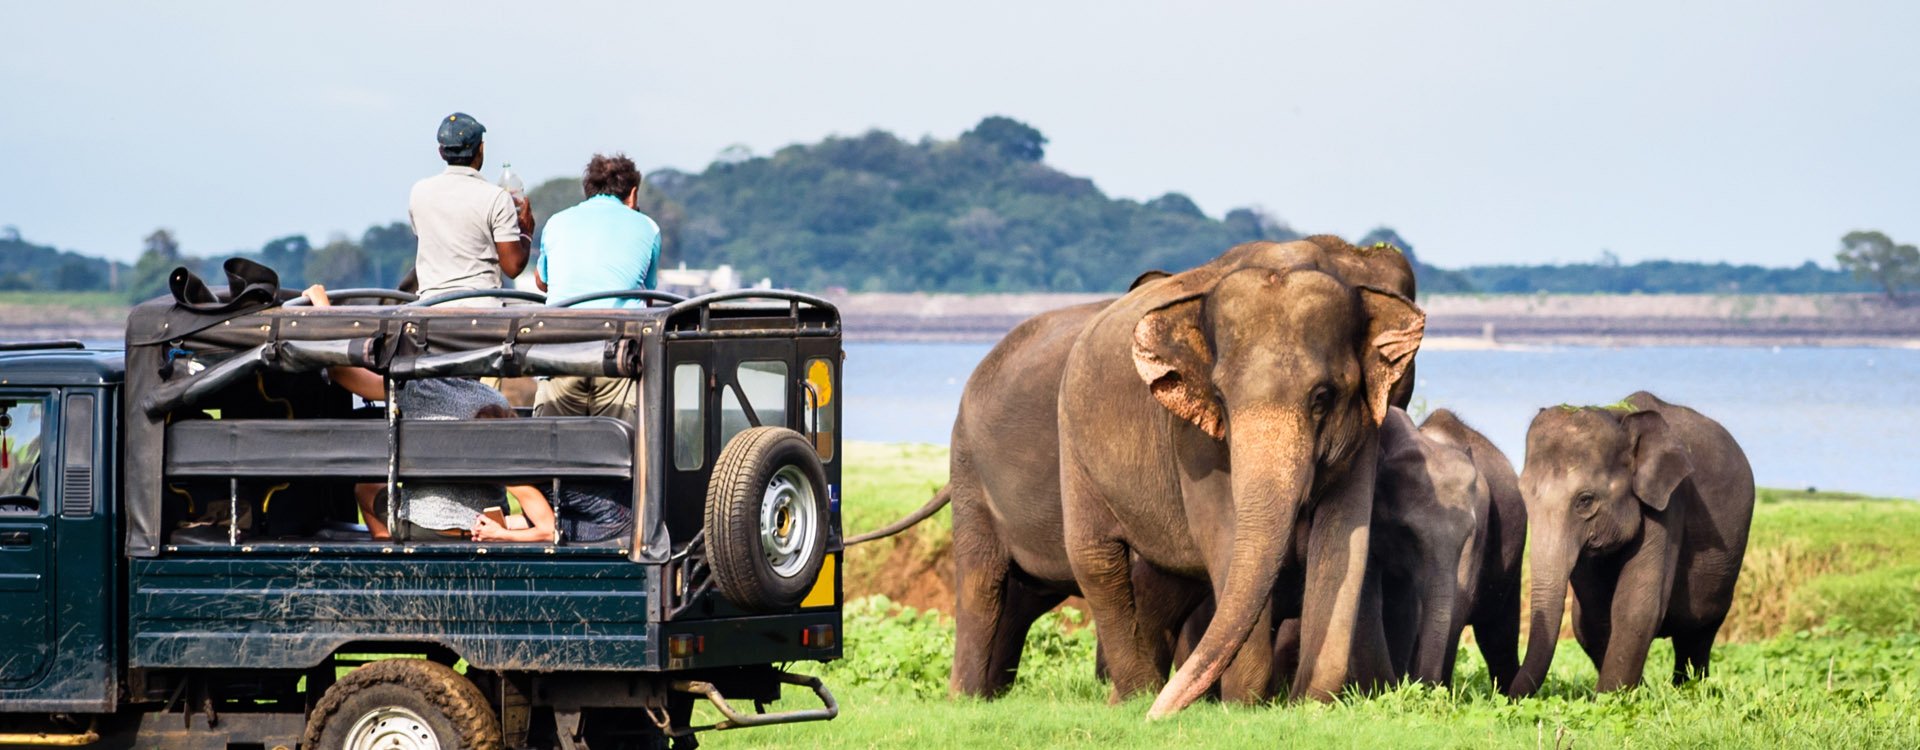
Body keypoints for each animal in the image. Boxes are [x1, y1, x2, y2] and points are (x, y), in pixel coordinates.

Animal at [1052, 242, 1428, 717]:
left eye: (1322, 397)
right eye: (1220, 397)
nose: (1161, 717)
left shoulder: (1364, 430)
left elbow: (1344, 540)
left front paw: (1307, 705)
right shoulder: (1193, 439)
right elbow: (1227, 540)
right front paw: (1245, 708)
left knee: (1162, 581)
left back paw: (1134, 699)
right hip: (1073, 445)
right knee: (1095, 558)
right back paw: (1138, 699)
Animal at [1505, 393, 1758, 698]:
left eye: (1585, 500)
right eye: (1523, 496)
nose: (1505, 696)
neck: (1620, 417)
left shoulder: (1669, 502)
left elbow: (1636, 605)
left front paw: (1608, 700)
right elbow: (1591, 618)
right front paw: (1630, 695)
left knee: (1698, 632)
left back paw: (1689, 690)